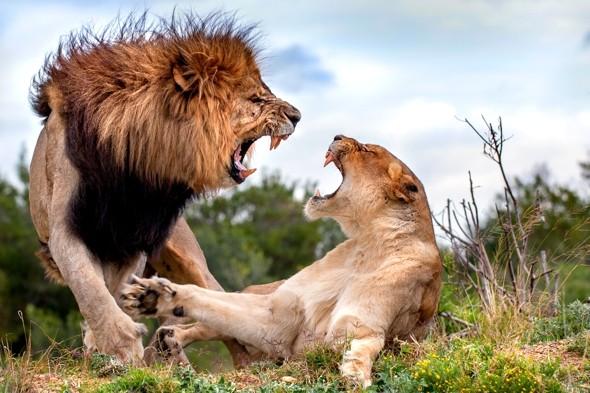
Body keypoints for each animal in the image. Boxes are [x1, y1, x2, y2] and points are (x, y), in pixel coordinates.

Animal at [28, 10, 302, 362]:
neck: (137, 169)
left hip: (191, 262)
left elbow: (114, 293)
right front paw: (117, 344)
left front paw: (121, 343)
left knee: (227, 309)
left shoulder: (133, 240)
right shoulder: (67, 230)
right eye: (256, 98)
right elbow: (91, 290)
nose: (297, 116)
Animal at [122, 135, 442, 386]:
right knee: (207, 322)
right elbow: (207, 301)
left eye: (366, 149)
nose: (338, 135)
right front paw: (156, 294)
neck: (367, 243)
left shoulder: (353, 328)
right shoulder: (276, 317)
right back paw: (169, 337)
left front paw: (355, 370)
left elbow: (366, 345)